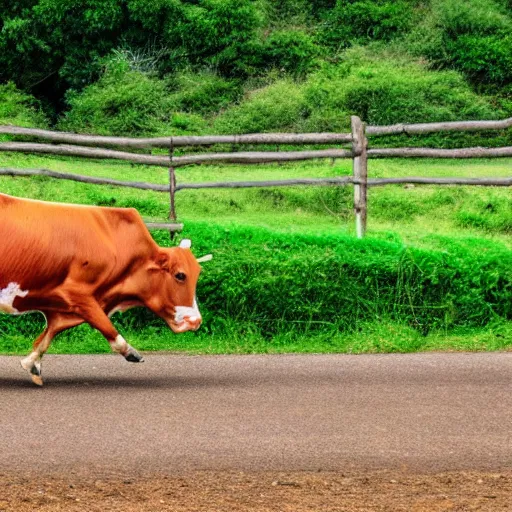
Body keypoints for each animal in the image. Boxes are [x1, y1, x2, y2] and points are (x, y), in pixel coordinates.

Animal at [0, 194, 208, 386]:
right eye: (180, 275)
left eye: (198, 273)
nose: (195, 321)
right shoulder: (77, 293)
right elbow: (108, 327)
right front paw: (131, 352)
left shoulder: (63, 308)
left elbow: (47, 336)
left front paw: (32, 364)